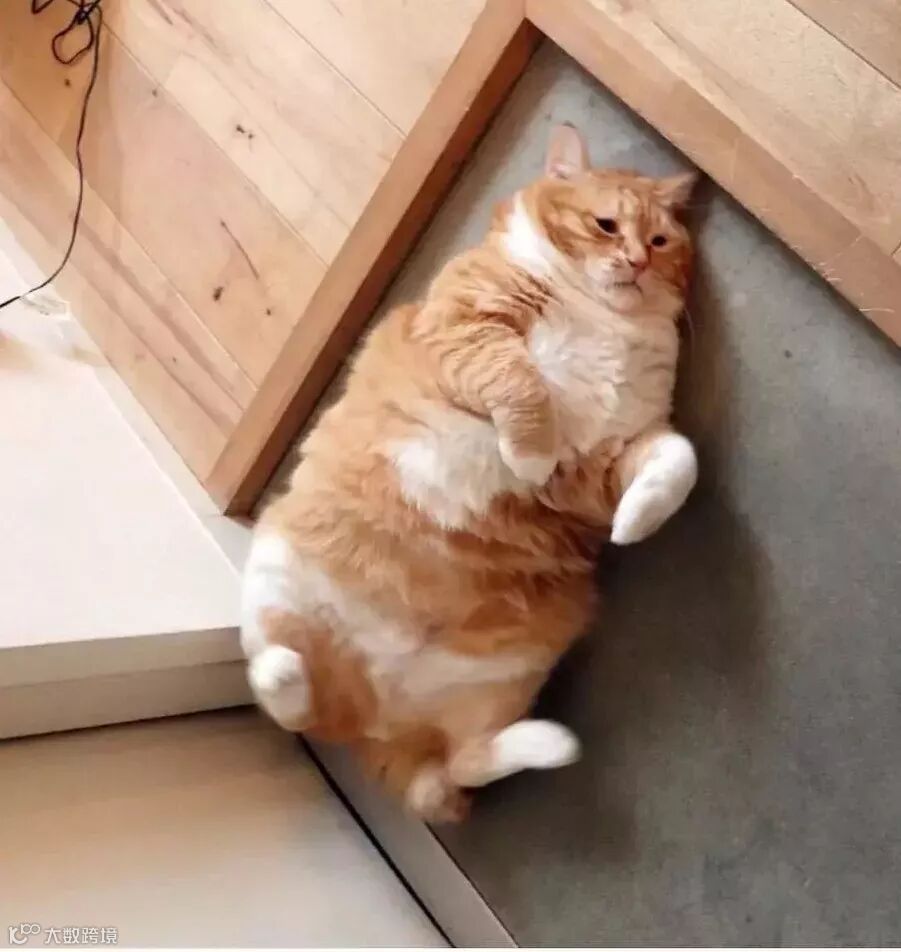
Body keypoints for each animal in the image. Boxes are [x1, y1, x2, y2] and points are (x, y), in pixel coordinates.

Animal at [241, 124, 698, 822]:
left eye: (660, 241)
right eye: (605, 225)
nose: (638, 262)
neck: (606, 322)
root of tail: (382, 718)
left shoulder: (606, 463)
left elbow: (679, 461)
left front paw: (635, 523)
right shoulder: (468, 331)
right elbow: (520, 382)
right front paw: (527, 452)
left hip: (509, 677)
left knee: (462, 763)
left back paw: (551, 743)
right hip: (274, 576)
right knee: (294, 703)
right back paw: (281, 672)